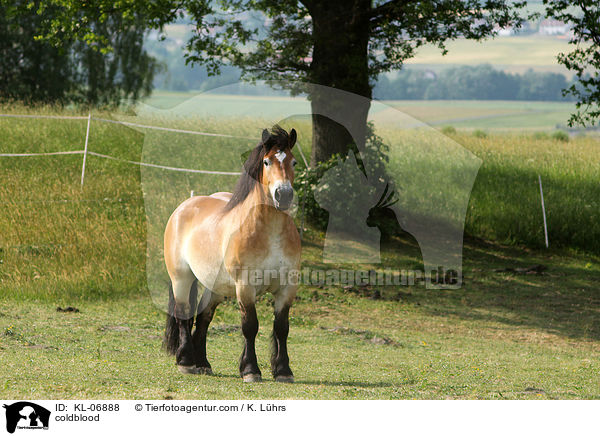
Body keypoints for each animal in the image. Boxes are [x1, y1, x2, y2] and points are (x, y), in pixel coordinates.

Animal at [163, 125, 300, 382]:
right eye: (266, 161)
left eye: (294, 162)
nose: (284, 195)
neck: (270, 232)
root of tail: (184, 207)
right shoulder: (245, 286)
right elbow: (250, 326)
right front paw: (250, 370)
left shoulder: (288, 287)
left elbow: (281, 328)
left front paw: (283, 370)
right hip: (181, 278)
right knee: (183, 314)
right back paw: (186, 362)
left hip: (215, 287)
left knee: (203, 317)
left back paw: (203, 363)